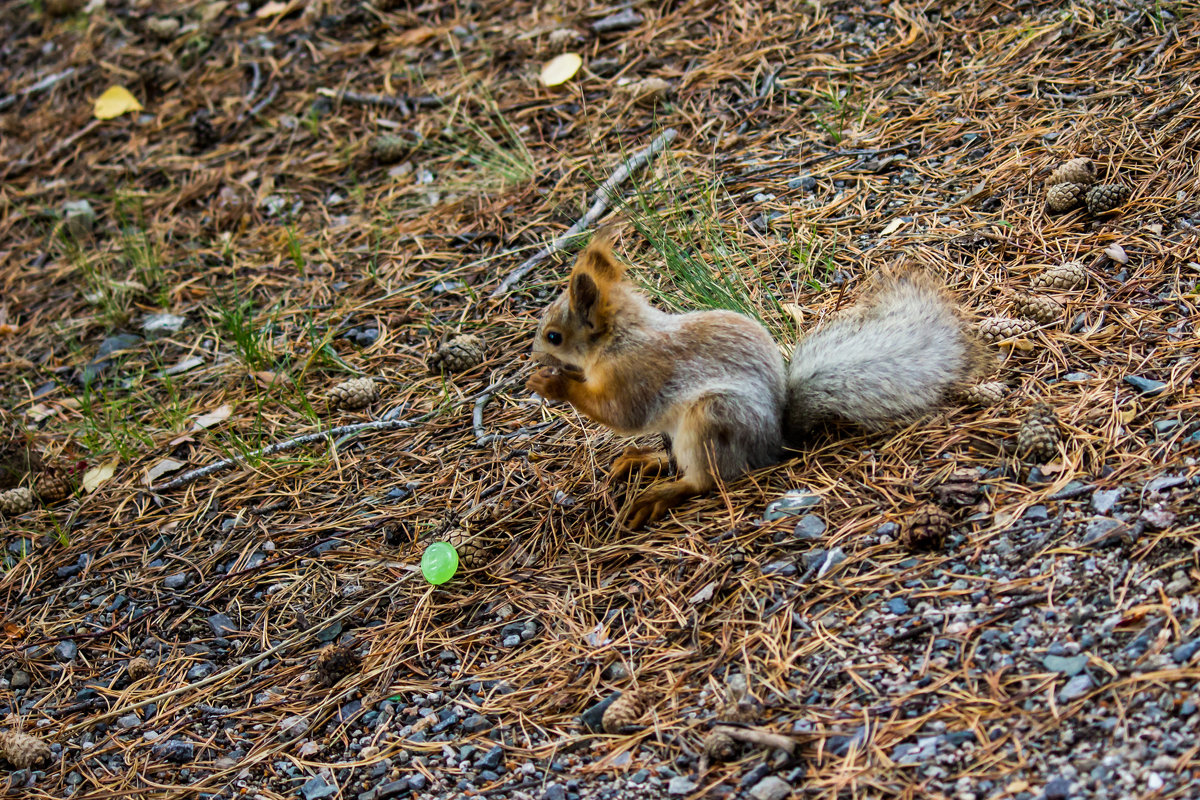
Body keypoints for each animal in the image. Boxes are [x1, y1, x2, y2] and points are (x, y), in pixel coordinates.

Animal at [525, 235, 984, 527]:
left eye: (554, 336)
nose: (534, 356)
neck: (621, 338)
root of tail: (775, 442)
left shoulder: (635, 374)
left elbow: (622, 414)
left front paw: (553, 384)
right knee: (673, 459)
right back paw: (644, 461)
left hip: (711, 421)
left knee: (704, 479)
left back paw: (660, 496)